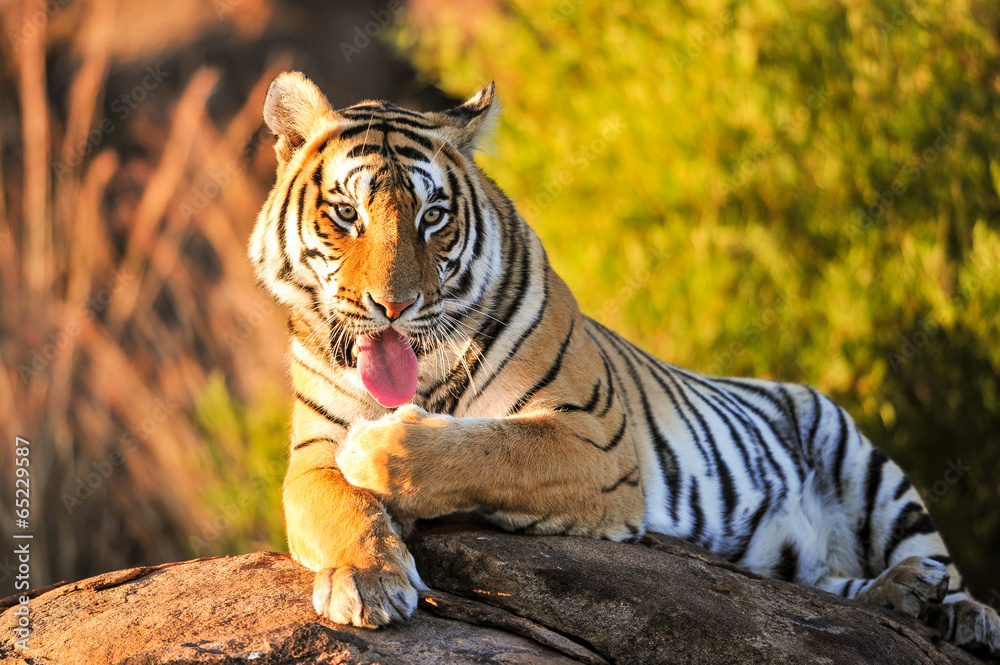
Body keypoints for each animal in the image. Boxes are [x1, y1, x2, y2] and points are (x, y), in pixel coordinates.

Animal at [248, 71, 1000, 655]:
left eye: (433, 217)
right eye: (347, 214)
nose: (395, 305)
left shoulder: (592, 437)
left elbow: (478, 449)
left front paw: (379, 449)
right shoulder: (311, 452)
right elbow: (335, 502)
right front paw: (367, 579)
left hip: (865, 462)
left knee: (938, 562)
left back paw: (960, 609)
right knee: (830, 584)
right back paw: (905, 593)